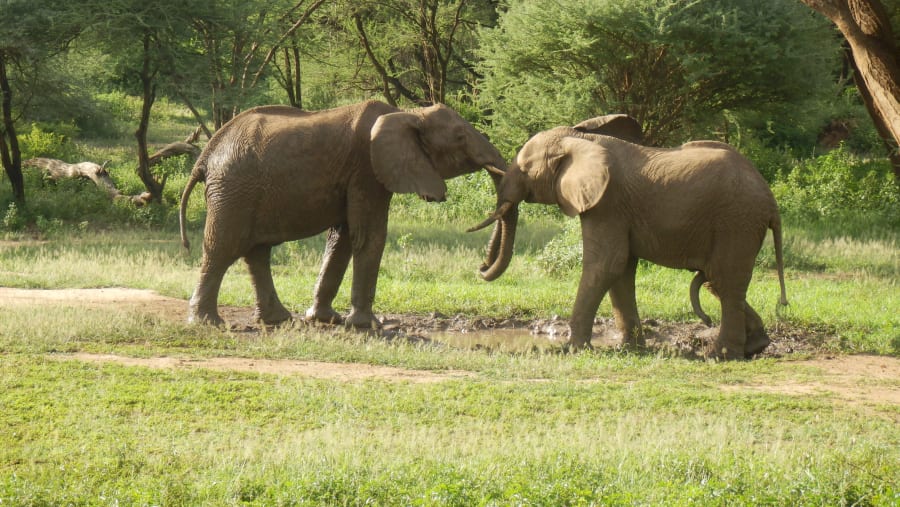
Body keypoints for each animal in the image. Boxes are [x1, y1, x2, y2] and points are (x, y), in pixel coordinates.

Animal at [179, 100, 507, 327]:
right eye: (461, 137)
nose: (482, 267)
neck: (408, 113)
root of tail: (205, 156)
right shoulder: (367, 169)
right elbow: (369, 236)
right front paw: (367, 325)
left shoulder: (359, 176)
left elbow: (343, 239)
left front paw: (327, 320)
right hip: (233, 190)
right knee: (224, 248)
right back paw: (209, 323)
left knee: (256, 252)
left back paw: (278, 320)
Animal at [470, 118, 787, 360]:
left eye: (524, 168)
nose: (481, 267)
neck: (581, 139)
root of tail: (771, 200)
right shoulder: (616, 208)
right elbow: (621, 269)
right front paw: (629, 349)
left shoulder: (607, 203)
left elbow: (606, 264)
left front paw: (572, 348)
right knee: (717, 281)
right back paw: (756, 346)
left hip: (737, 221)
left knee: (725, 279)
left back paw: (720, 355)